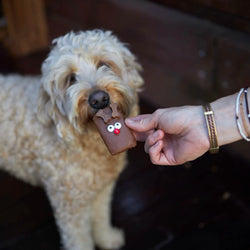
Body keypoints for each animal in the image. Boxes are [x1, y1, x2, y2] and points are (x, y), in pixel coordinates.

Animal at [0, 30, 143, 250]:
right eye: (70, 79)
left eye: (105, 64)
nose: (99, 99)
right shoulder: (70, 206)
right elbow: (79, 239)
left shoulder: (102, 190)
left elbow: (100, 217)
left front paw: (107, 238)